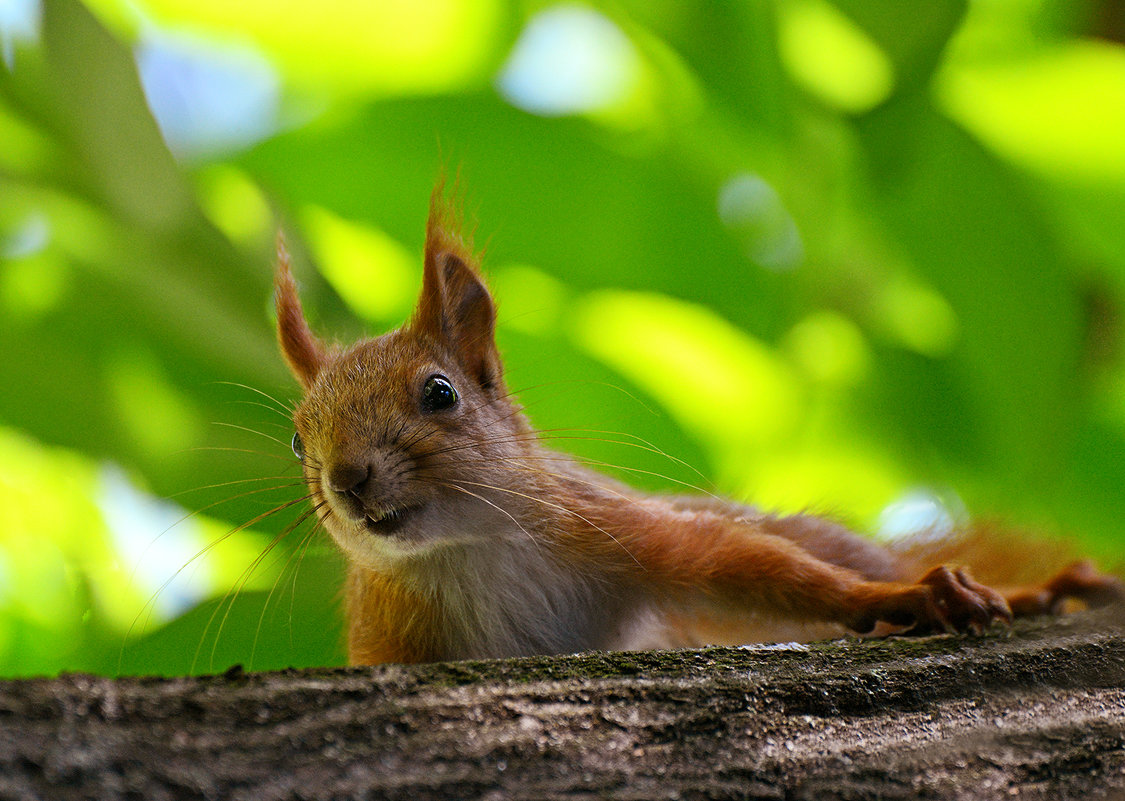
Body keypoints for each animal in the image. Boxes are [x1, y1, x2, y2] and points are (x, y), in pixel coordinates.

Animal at [274, 185, 1125, 661]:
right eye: (296, 437)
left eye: (440, 393)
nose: (346, 478)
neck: (460, 555)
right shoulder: (388, 637)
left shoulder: (609, 527)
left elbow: (755, 566)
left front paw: (901, 600)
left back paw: (1025, 590)